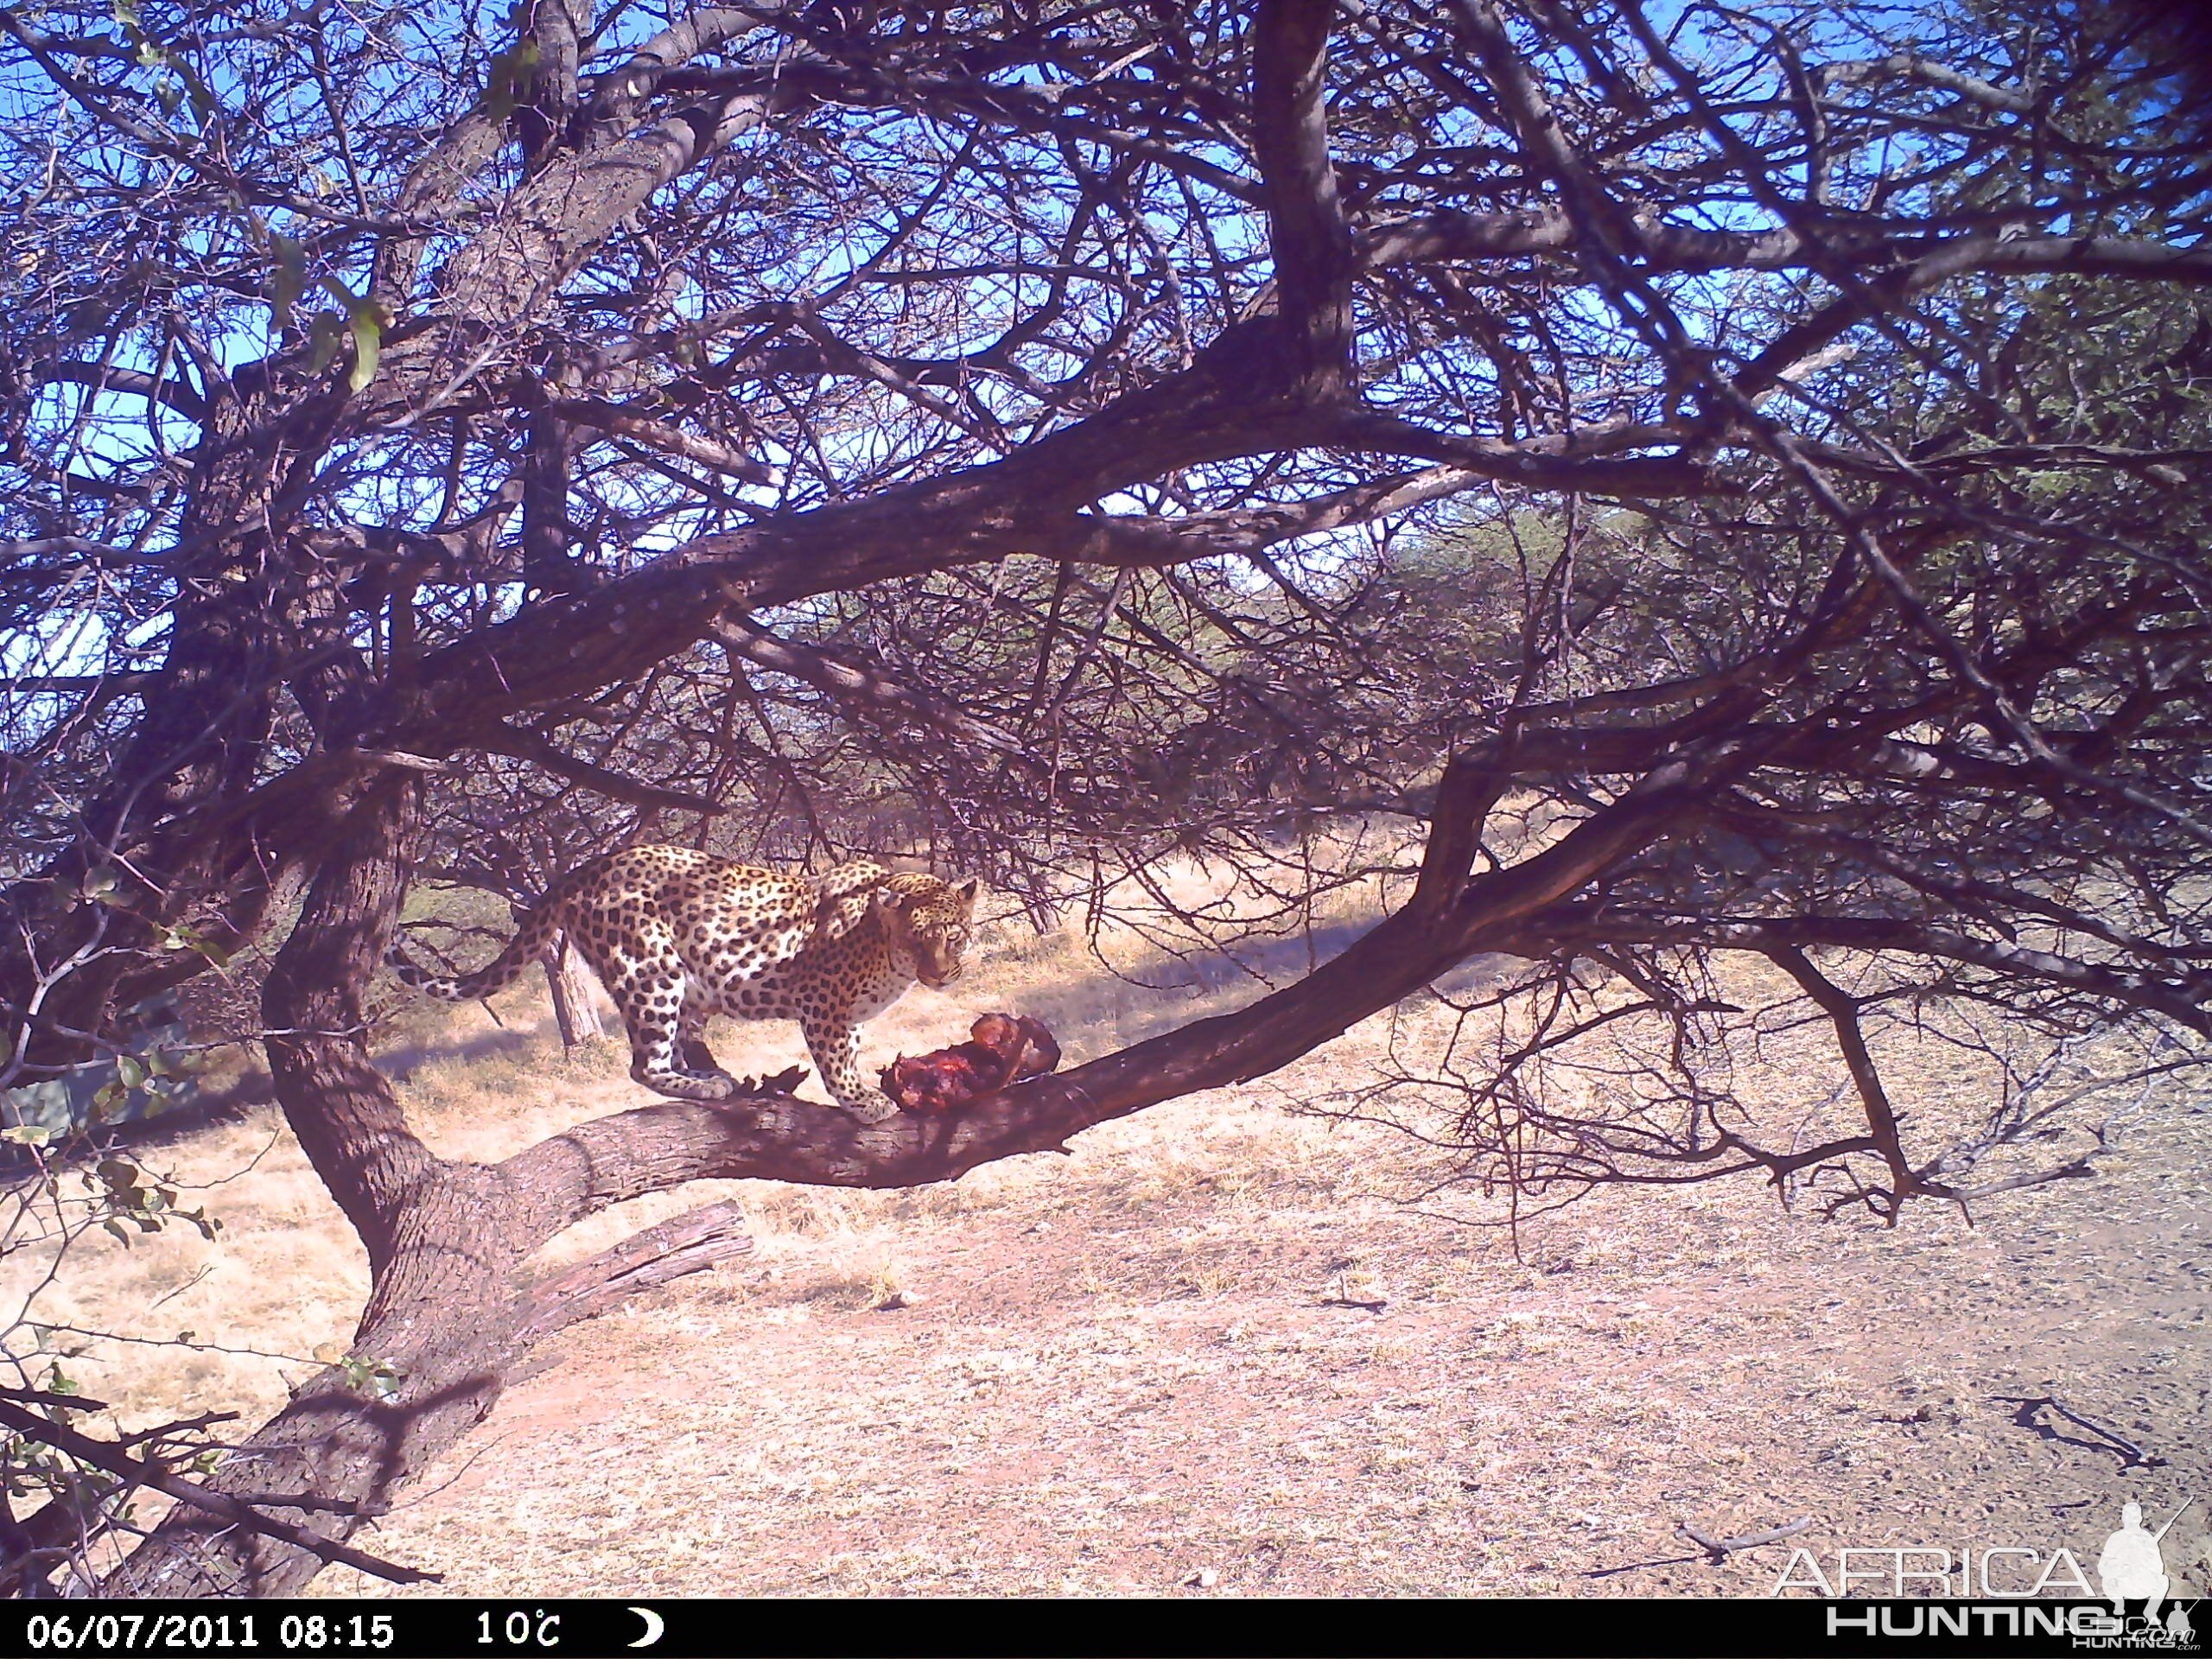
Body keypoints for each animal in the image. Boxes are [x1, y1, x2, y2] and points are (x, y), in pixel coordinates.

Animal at [389, 844, 977, 1132]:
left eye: (954, 937)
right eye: (918, 941)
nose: (941, 974)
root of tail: (583, 869)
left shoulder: (848, 1015)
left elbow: (851, 1051)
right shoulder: (821, 1003)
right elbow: (836, 1063)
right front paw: (864, 1103)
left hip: (684, 987)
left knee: (674, 1046)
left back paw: (710, 1074)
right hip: (649, 969)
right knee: (642, 1065)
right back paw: (705, 1086)